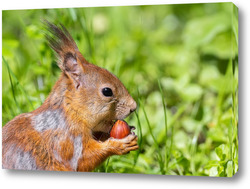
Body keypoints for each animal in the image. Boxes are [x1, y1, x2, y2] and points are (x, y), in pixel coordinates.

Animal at [1, 21, 139, 172]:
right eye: (107, 91)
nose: (133, 107)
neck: (71, 111)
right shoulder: (66, 138)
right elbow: (84, 159)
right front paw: (119, 145)